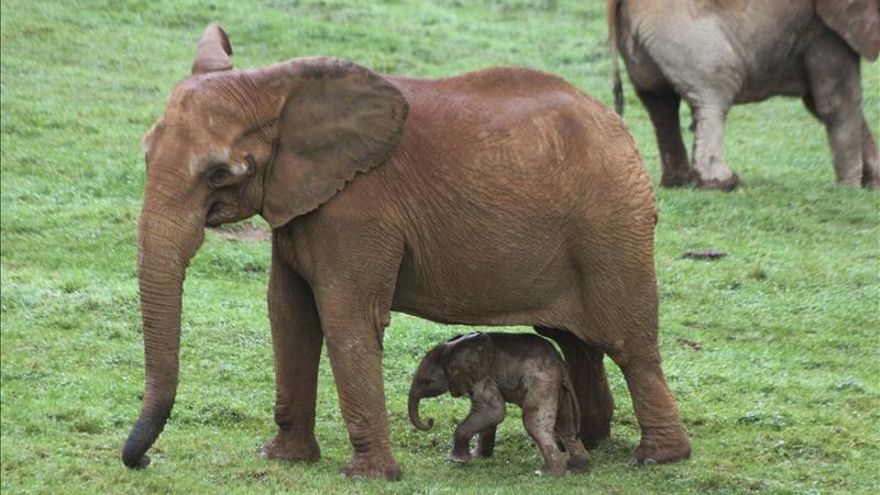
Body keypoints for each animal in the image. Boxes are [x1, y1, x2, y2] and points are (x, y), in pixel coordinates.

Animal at [408, 332, 590, 476]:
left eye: (427, 381)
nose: (430, 421)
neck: (451, 348)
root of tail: (561, 365)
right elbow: (487, 414)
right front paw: (479, 456)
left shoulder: (483, 376)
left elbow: (494, 411)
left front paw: (457, 460)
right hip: (557, 388)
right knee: (565, 425)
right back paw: (578, 468)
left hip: (542, 382)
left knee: (534, 423)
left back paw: (546, 474)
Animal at [607, 0, 880, 190]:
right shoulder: (823, 28)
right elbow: (837, 102)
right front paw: (849, 190)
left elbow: (821, 102)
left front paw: (872, 185)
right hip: (686, 32)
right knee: (713, 93)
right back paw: (723, 183)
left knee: (659, 102)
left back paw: (679, 183)